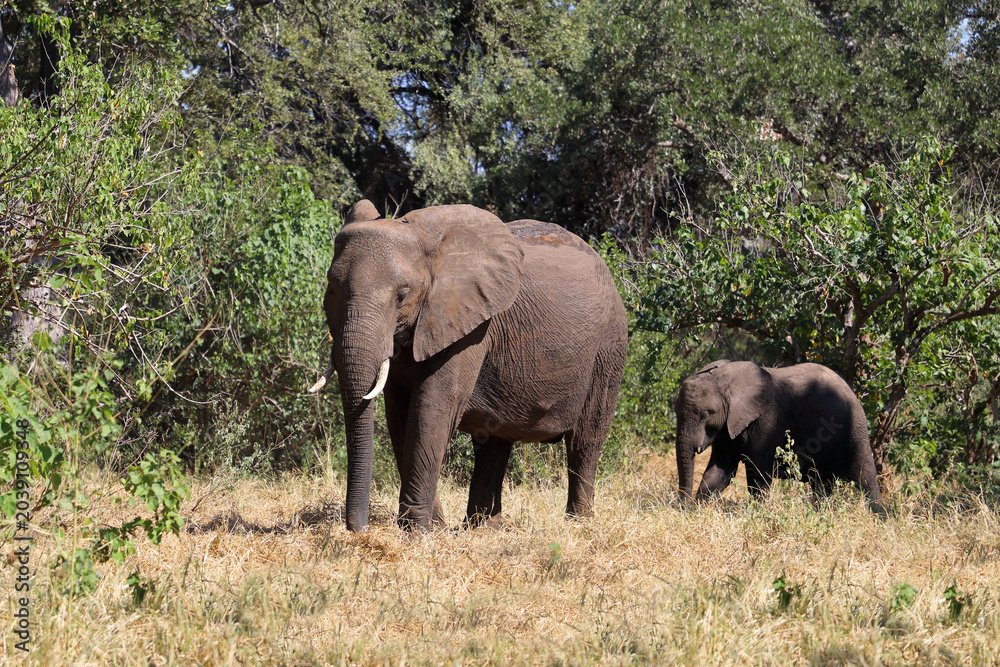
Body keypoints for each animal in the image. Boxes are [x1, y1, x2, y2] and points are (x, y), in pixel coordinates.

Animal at [309, 200, 628, 532]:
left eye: (402, 295)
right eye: (331, 290)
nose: (359, 529)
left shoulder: (472, 327)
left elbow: (431, 409)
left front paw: (416, 531)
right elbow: (399, 413)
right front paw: (433, 528)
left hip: (609, 347)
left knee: (585, 439)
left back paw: (578, 523)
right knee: (494, 442)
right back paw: (483, 527)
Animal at [674, 360, 884, 511]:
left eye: (706, 415)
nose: (684, 506)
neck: (724, 378)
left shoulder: (767, 421)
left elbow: (757, 474)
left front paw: (757, 514)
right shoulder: (728, 427)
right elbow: (720, 470)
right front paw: (697, 510)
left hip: (854, 426)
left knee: (864, 474)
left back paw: (880, 517)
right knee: (822, 483)